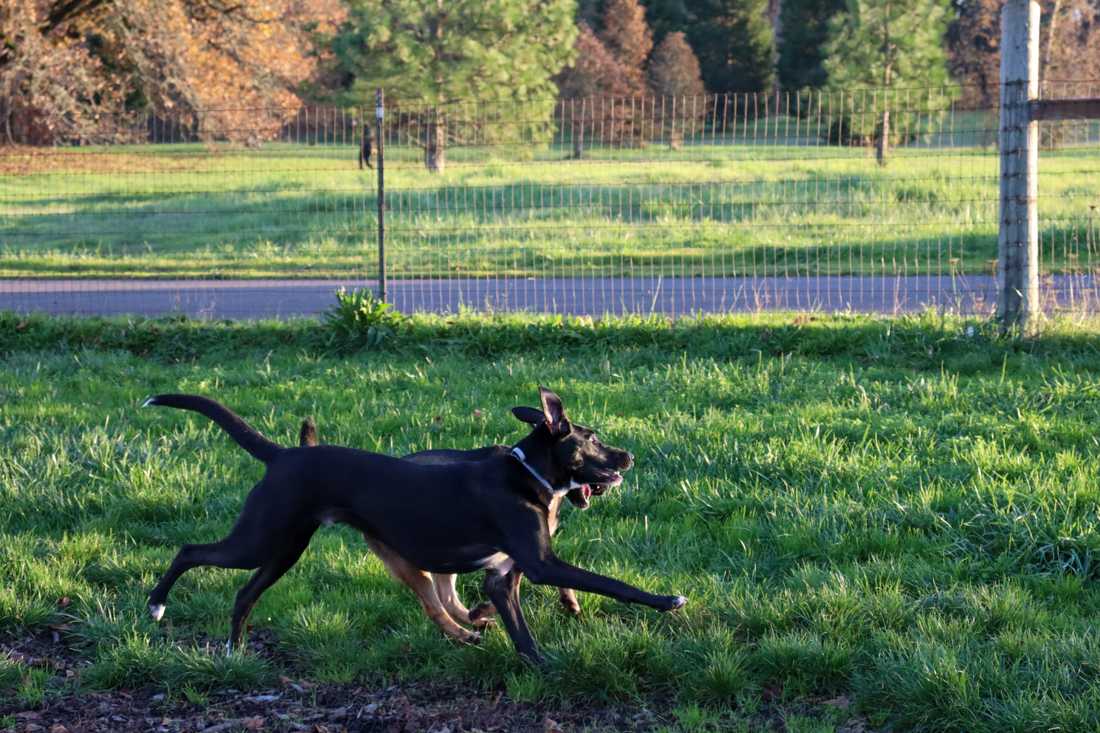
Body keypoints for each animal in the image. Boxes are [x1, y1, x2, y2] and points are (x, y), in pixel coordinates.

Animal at [141, 387, 682, 660]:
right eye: (591, 438)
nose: (629, 457)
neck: (527, 475)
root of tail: (283, 456)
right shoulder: (541, 565)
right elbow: (611, 584)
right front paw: (665, 601)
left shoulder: (503, 577)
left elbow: (522, 634)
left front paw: (539, 667)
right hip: (260, 538)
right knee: (190, 551)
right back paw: (156, 604)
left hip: (284, 547)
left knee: (244, 592)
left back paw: (234, 649)